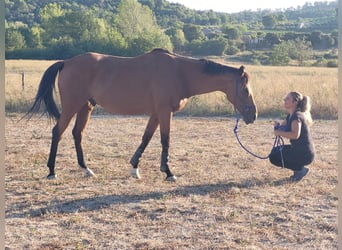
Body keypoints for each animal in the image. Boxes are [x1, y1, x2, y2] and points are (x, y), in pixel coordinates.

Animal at [27, 48, 256, 181]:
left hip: (86, 107)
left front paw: (134, 168)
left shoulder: (156, 113)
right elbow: (165, 140)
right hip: (72, 106)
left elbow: (146, 138)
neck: (180, 73)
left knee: (77, 134)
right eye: (245, 90)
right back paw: (51, 171)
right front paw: (168, 172)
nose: (253, 115)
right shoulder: (164, 112)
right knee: (58, 132)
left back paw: (86, 169)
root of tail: (66, 62)